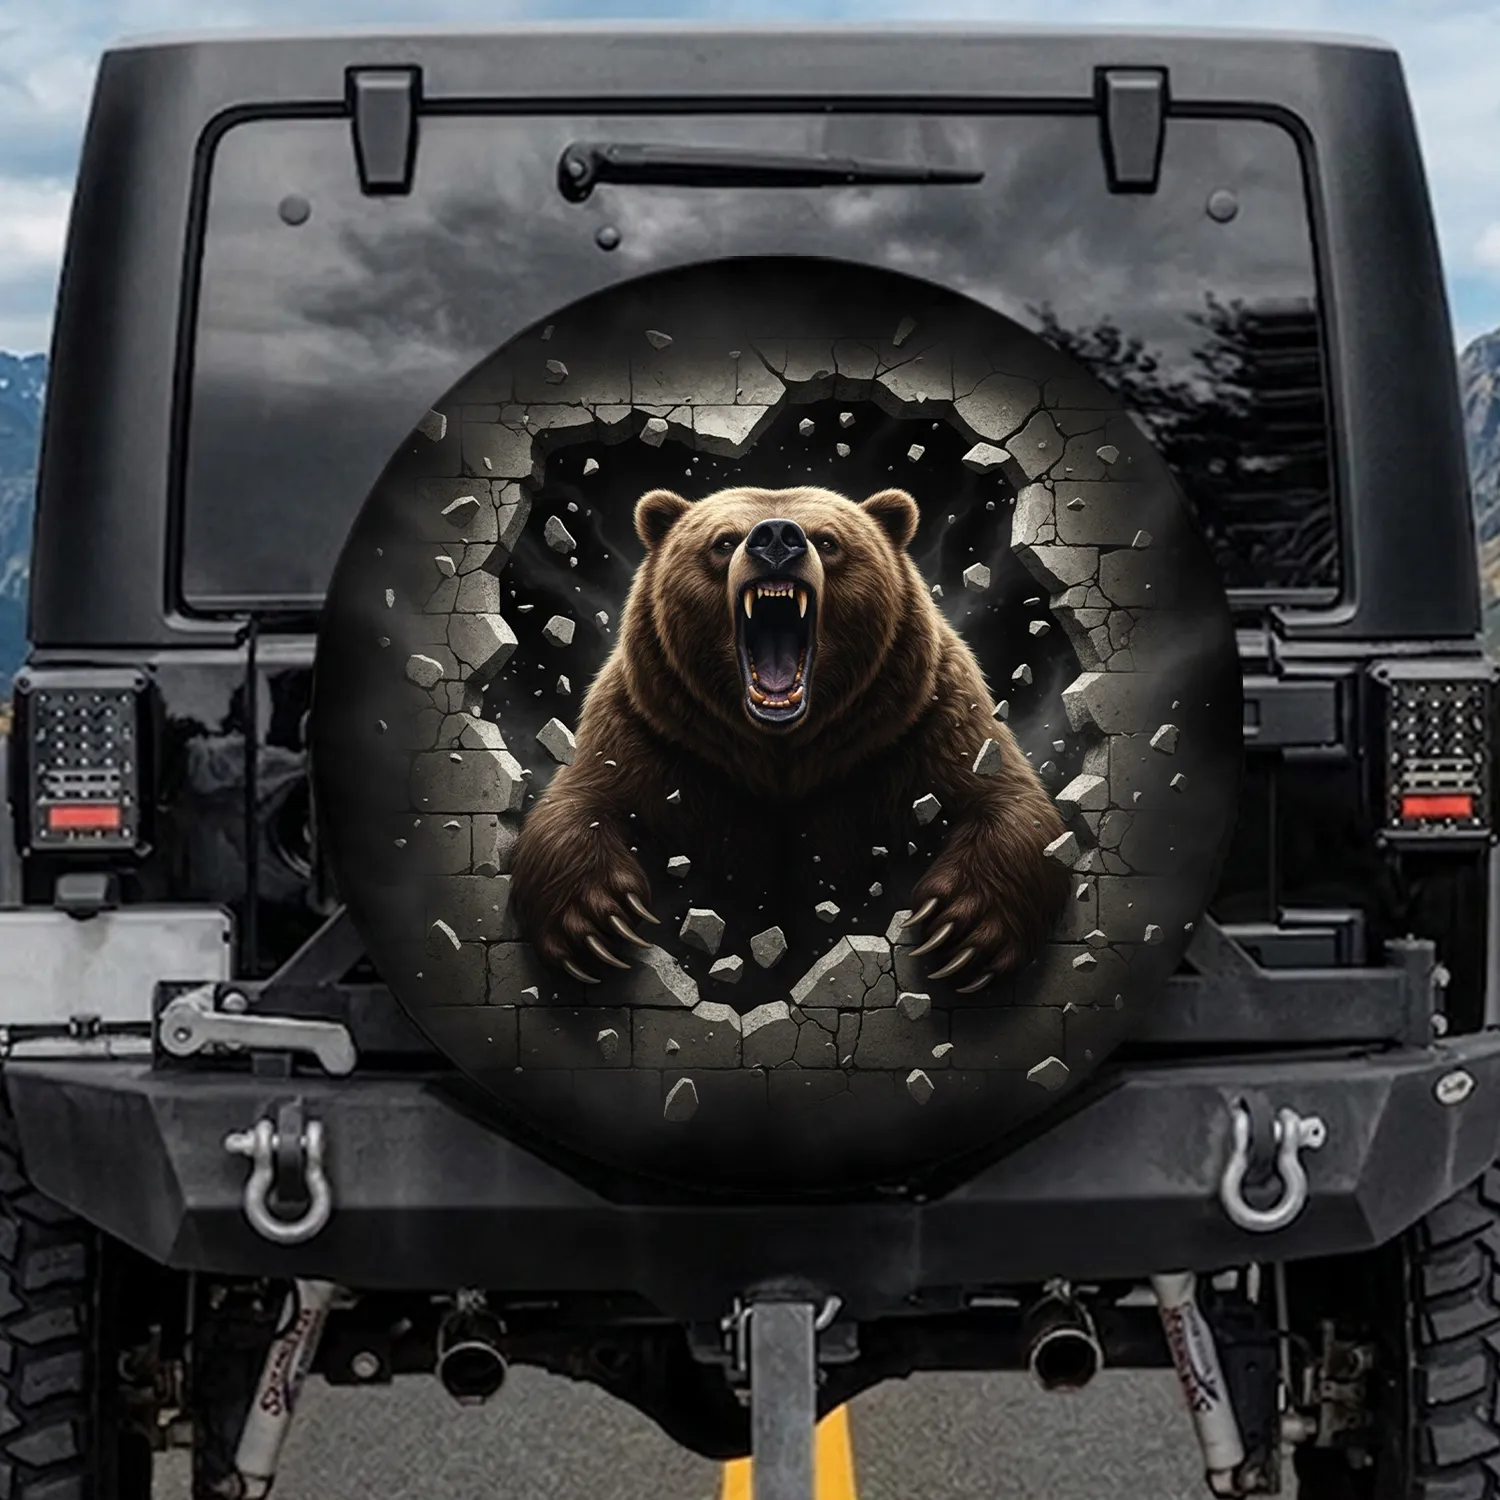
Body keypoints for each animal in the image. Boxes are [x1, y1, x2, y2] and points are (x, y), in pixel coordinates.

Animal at [511, 484, 1071, 992]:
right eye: (723, 540)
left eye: (828, 540)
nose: (776, 537)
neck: (782, 752)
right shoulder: (655, 731)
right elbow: (581, 800)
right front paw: (597, 922)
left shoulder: (918, 722)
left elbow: (1009, 802)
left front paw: (960, 928)